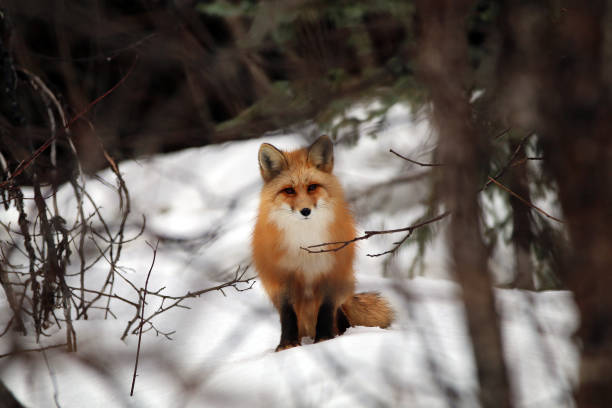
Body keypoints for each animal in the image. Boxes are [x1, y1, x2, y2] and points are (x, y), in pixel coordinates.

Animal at [252, 136, 392, 350]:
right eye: (289, 191)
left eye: (312, 187)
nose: (305, 211)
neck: (306, 244)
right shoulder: (282, 277)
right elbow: (287, 314)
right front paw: (287, 345)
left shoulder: (332, 272)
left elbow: (326, 311)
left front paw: (325, 339)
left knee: (339, 316)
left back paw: (343, 333)